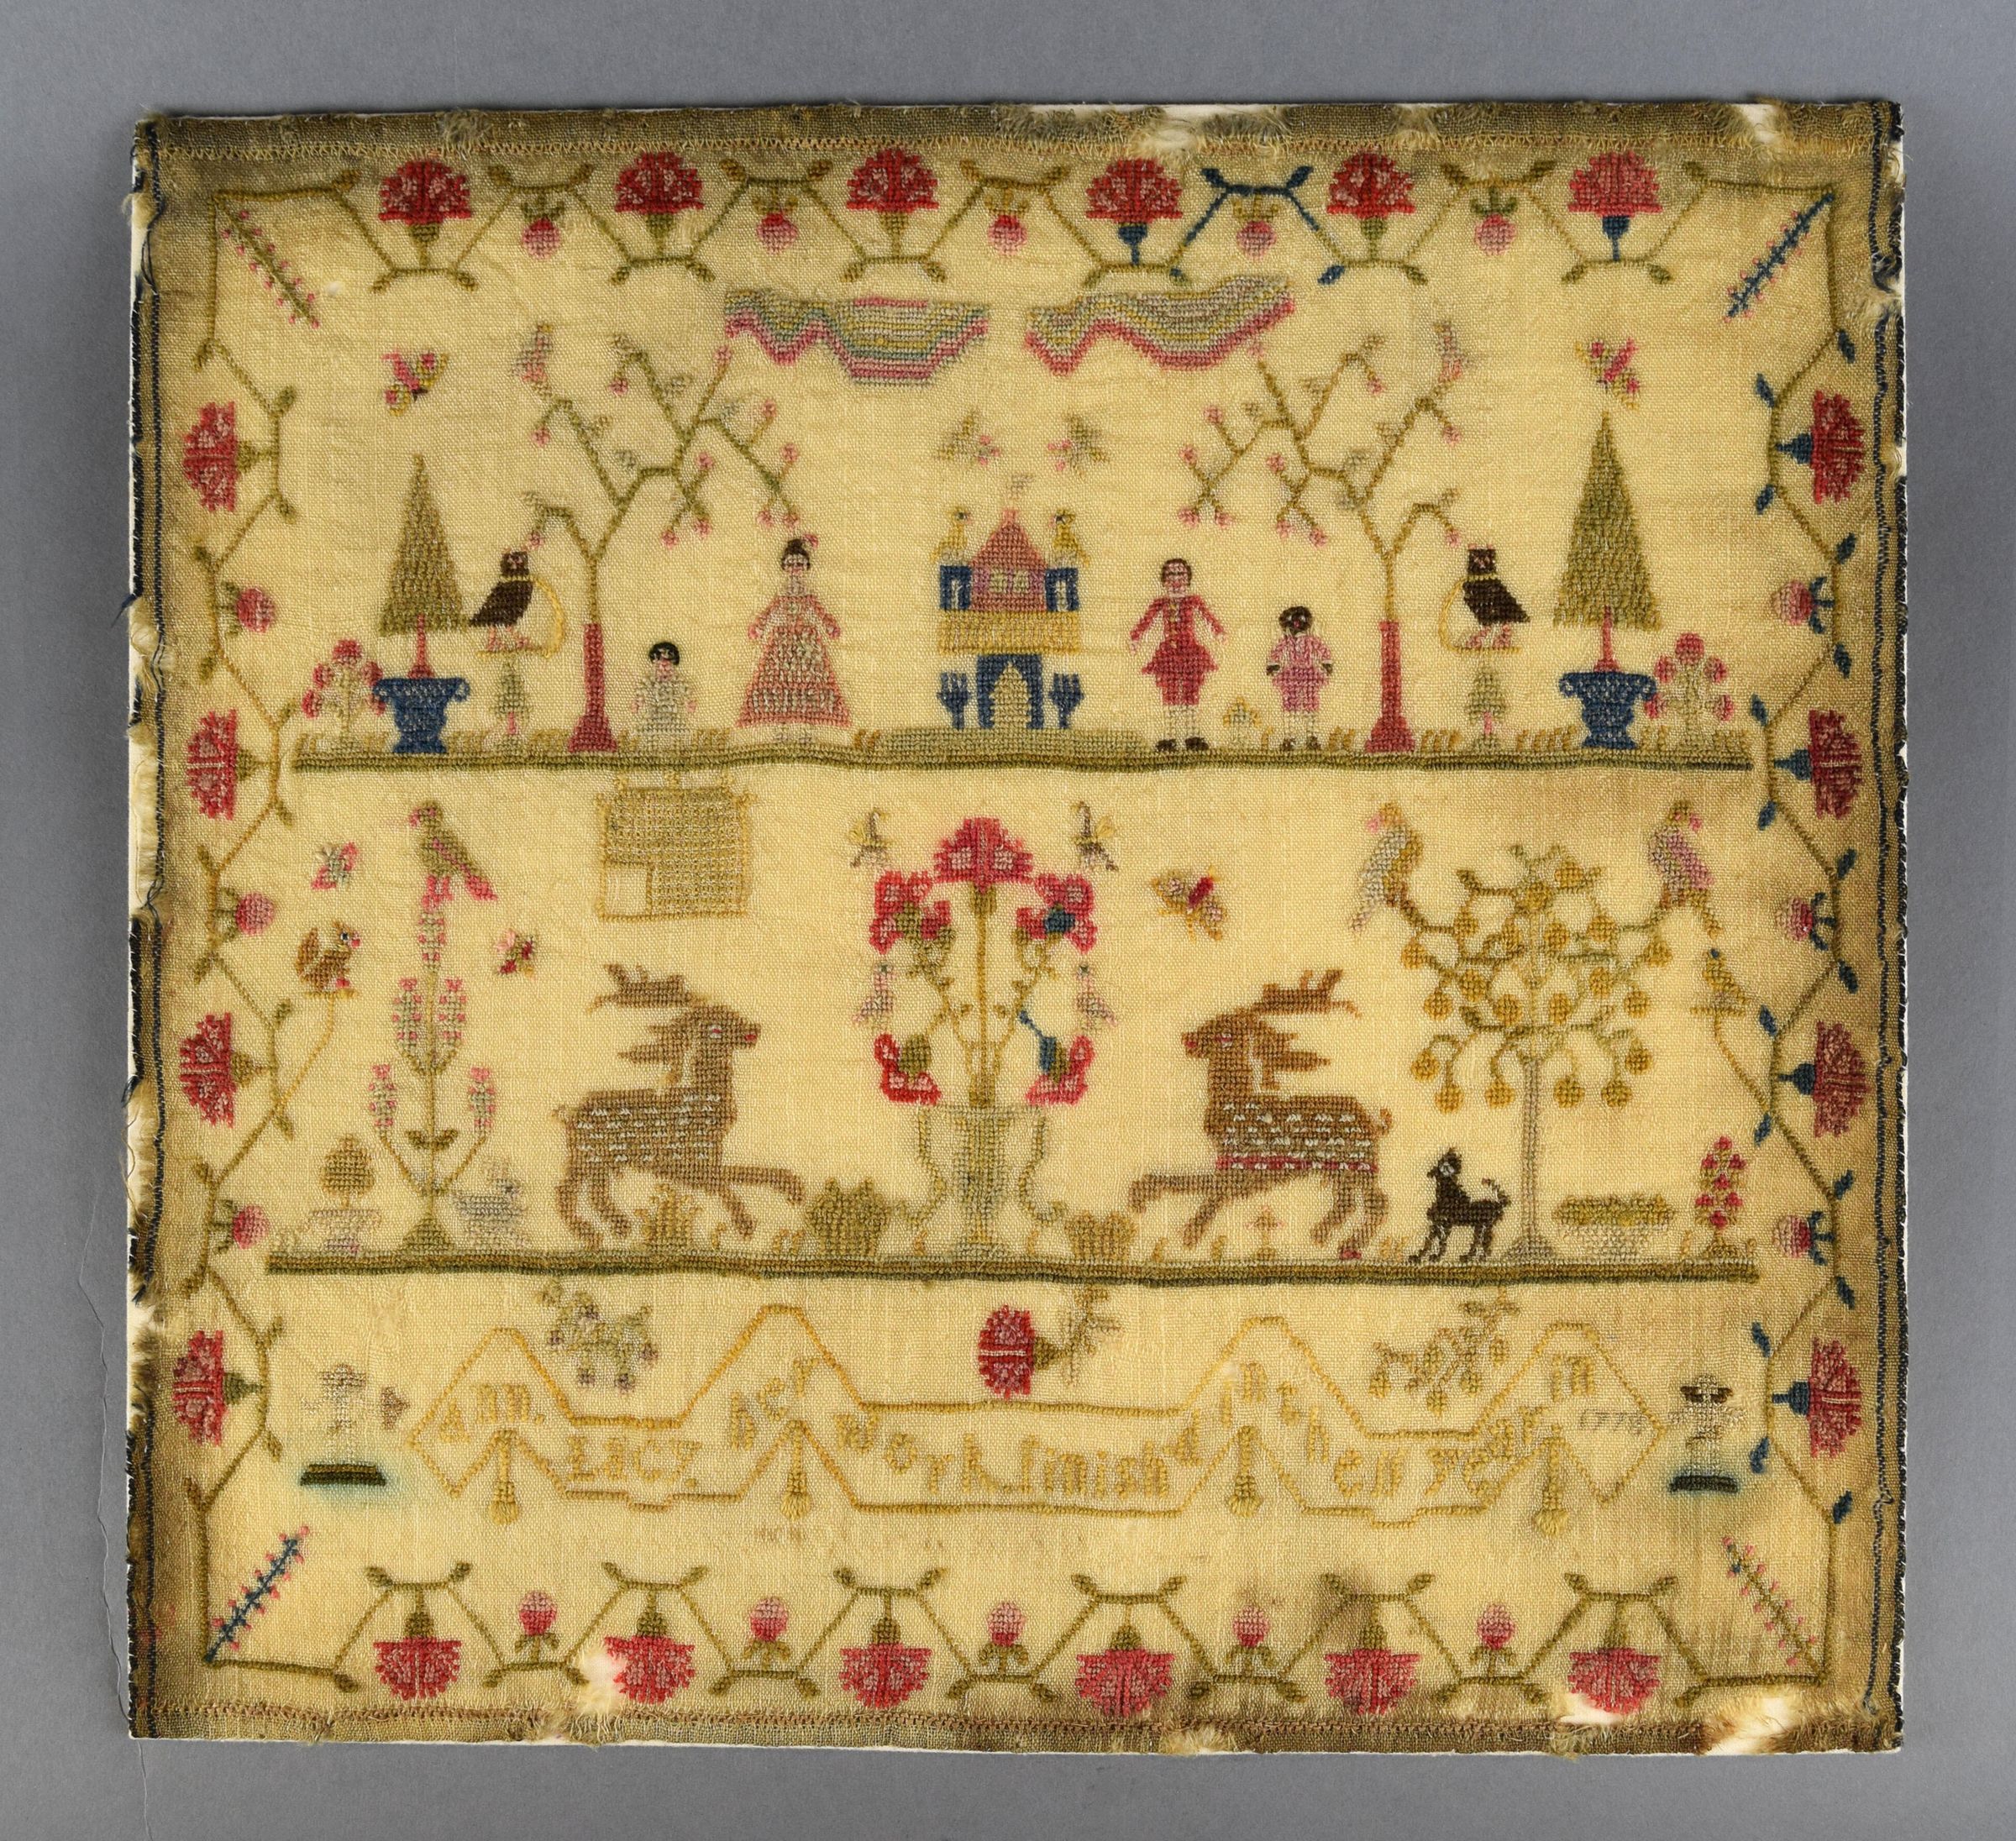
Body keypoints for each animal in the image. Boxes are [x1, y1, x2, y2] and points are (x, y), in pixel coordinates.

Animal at [556, 966, 805, 1245]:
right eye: (715, 1029)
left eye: (734, 1014)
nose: (755, 1029)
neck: (704, 1100)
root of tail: (568, 1114)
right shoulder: (690, 1164)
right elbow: (728, 1182)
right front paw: (746, 1224)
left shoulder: (707, 1160)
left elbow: (750, 1172)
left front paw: (793, 1189)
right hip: (588, 1157)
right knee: (567, 1191)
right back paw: (589, 1233)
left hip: (604, 1160)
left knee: (596, 1191)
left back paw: (619, 1227)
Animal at [1128, 970, 1391, 1256]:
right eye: (1209, 1020)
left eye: (1226, 1035)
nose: (1188, 1039)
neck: (1235, 1103)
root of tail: (1374, 1123)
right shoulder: (1229, 1166)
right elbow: (1187, 1182)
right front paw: (1142, 1194)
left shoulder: (1243, 1170)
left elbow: (1205, 1189)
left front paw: (1191, 1232)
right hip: (1339, 1170)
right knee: (1346, 1201)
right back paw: (1321, 1235)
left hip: (1359, 1166)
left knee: (1377, 1203)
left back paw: (1349, 1245)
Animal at [1407, 1149, 1511, 1264]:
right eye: (1442, 1159)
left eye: (1454, 1162)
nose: (1447, 1164)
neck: (1447, 1195)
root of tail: (1498, 1204)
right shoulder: (1436, 1224)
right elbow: (1429, 1242)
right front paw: (1418, 1257)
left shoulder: (1447, 1224)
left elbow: (1442, 1241)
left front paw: (1436, 1257)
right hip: (1482, 1226)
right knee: (1480, 1242)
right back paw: (1470, 1258)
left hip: (1484, 1225)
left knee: (1483, 1242)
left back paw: (1478, 1259)